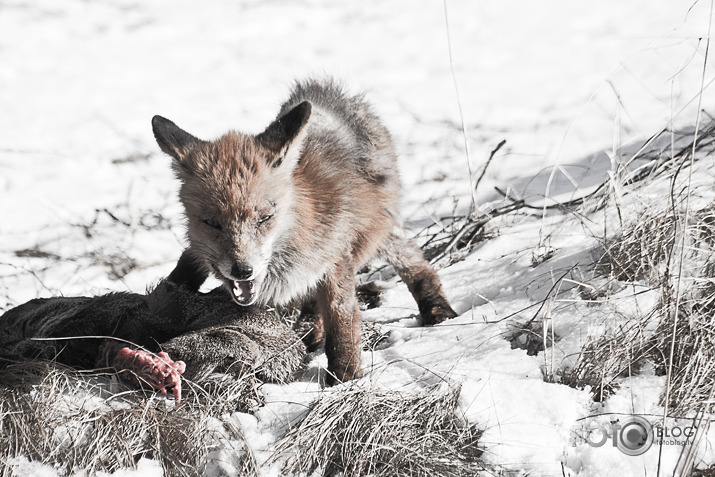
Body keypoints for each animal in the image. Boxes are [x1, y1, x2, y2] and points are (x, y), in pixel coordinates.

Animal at [154, 78, 462, 384]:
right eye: (212, 223)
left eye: (265, 218)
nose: (242, 270)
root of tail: (324, 91)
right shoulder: (199, 250)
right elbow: (185, 267)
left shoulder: (335, 257)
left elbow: (341, 321)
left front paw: (345, 378)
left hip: (379, 230)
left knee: (416, 263)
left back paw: (437, 310)